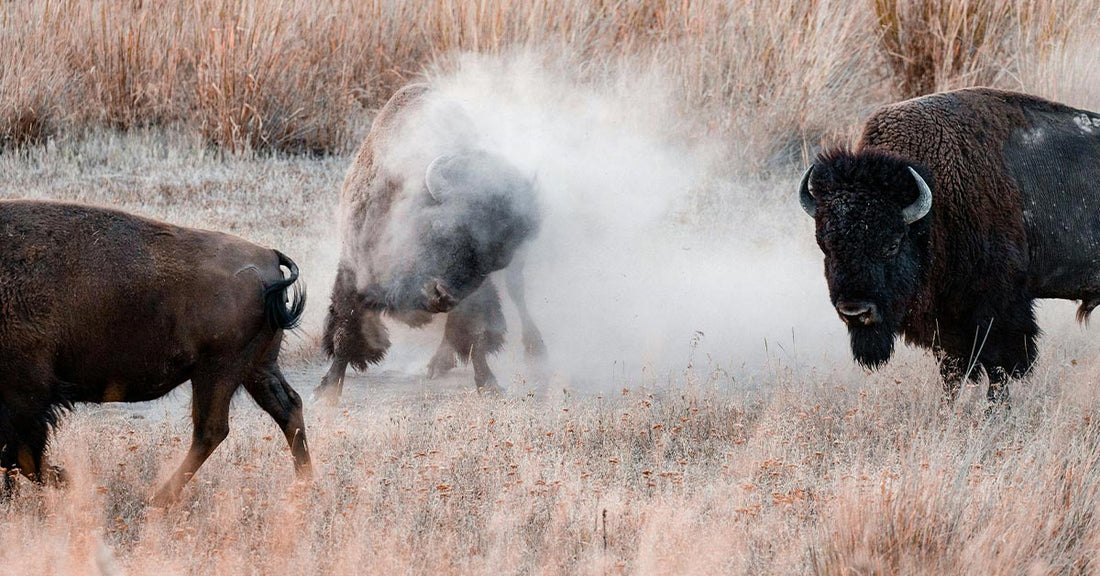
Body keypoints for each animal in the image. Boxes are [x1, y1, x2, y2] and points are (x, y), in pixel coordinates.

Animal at [0, 200, 311, 503]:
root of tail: (269, 257)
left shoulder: (28, 397)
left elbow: (21, 457)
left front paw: (66, 481)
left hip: (218, 371)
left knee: (211, 430)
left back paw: (158, 499)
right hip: (256, 367)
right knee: (287, 407)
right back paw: (304, 483)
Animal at [316, 84, 545, 402]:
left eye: (490, 262)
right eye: (440, 227)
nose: (442, 295)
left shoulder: (478, 292)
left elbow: (476, 333)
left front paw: (488, 384)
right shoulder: (354, 268)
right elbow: (345, 330)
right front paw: (326, 393)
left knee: (516, 293)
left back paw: (533, 347)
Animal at [799, 88, 1100, 404]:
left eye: (892, 244)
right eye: (825, 246)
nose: (855, 312)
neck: (936, 205)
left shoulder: (996, 309)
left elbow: (998, 367)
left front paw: (995, 410)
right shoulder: (947, 323)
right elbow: (953, 371)